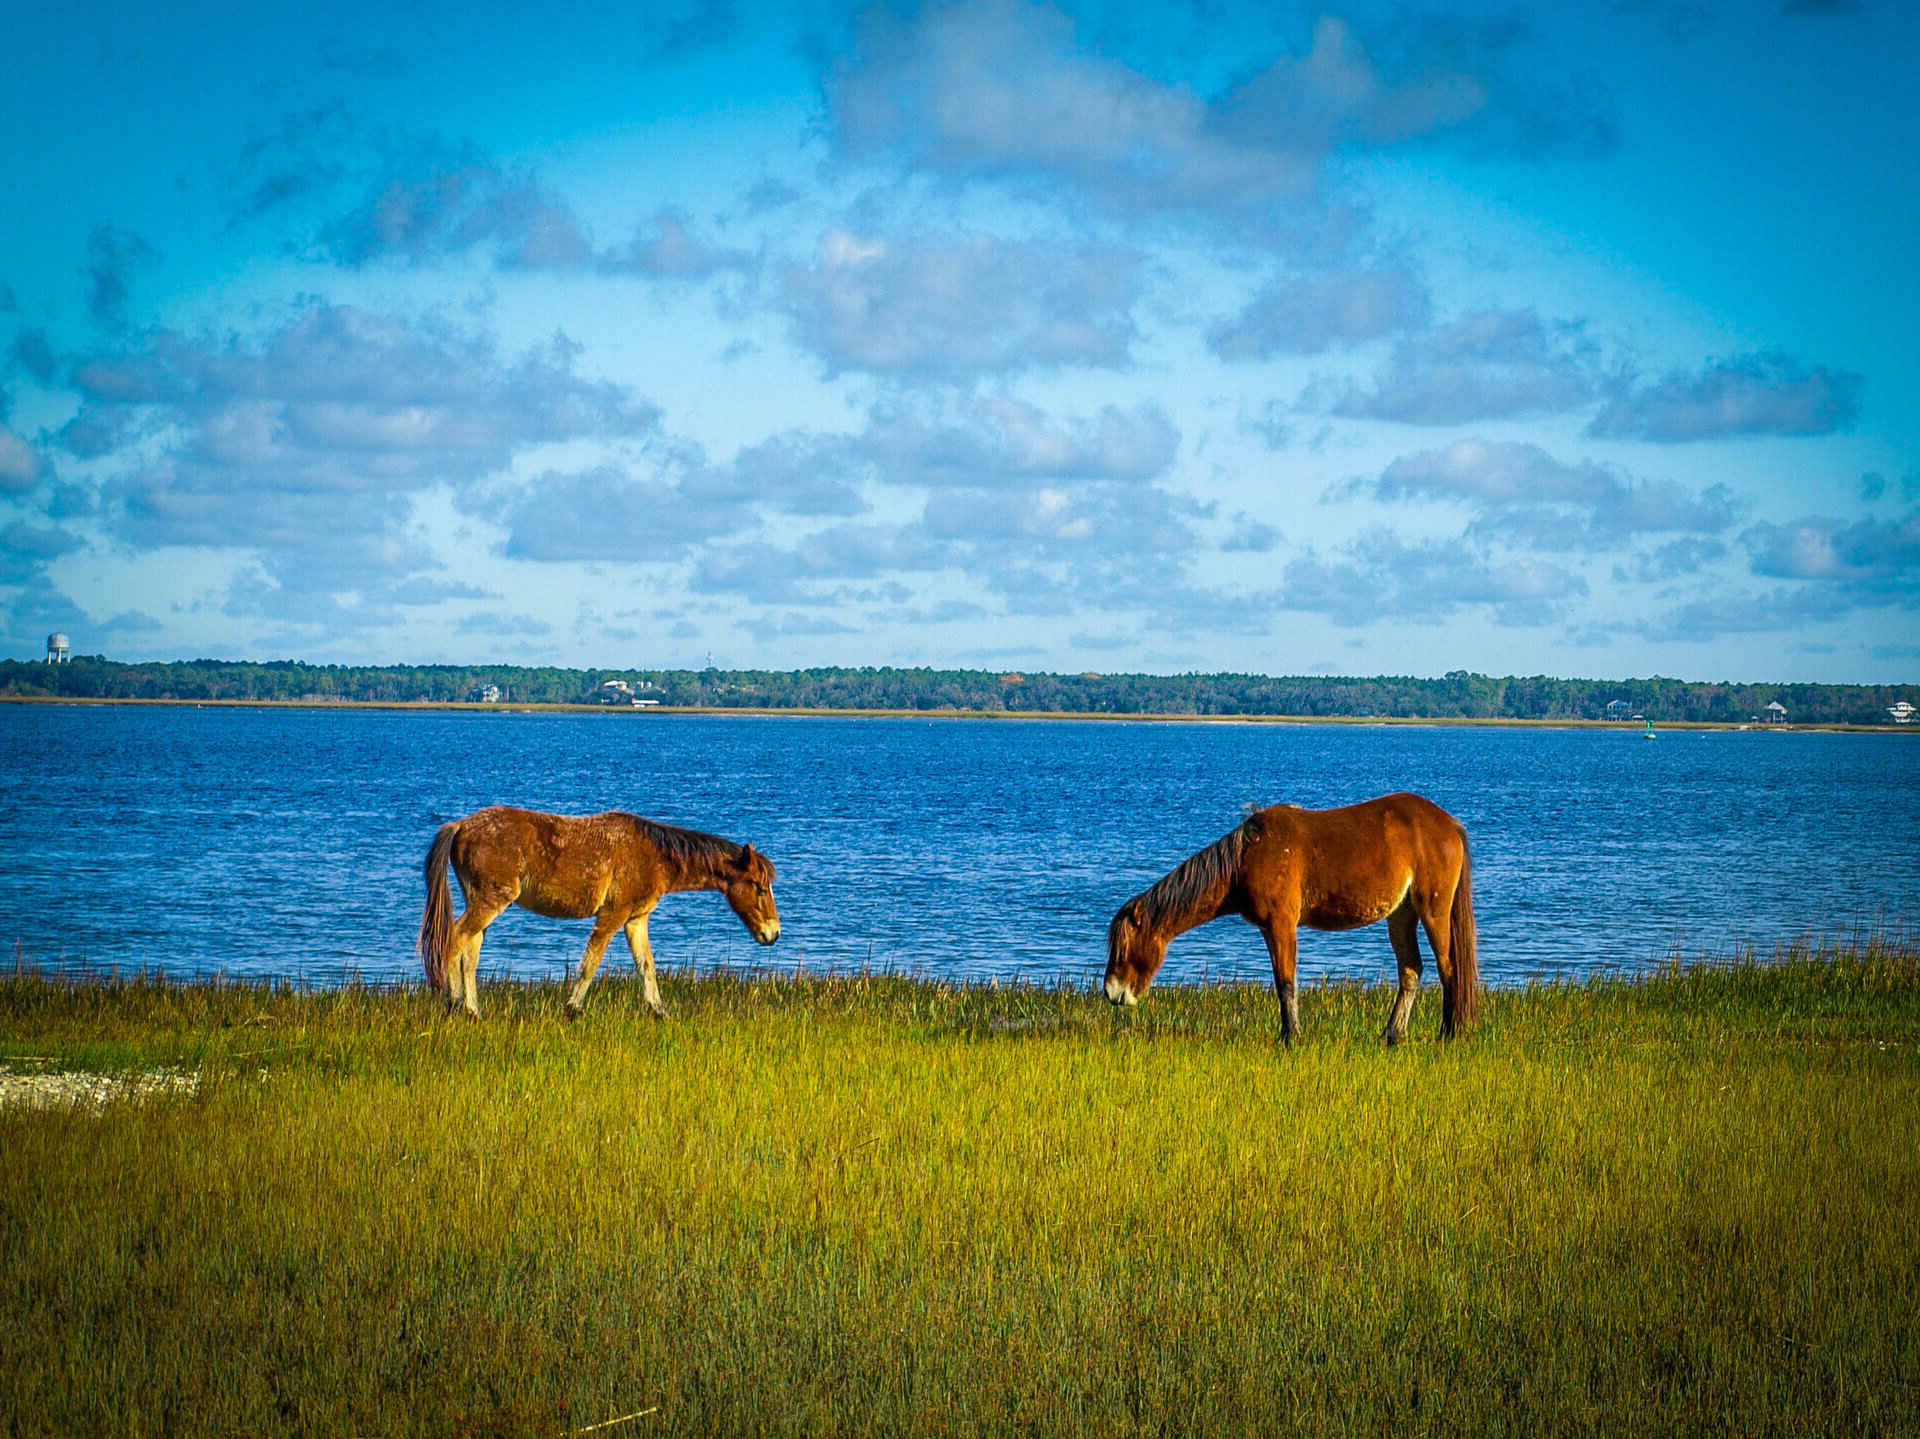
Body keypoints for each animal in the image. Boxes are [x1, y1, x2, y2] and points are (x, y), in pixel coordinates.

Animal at [417, 806, 780, 1019]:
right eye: (760, 888)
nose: (773, 934)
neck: (654, 856)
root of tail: (461, 825)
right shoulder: (612, 915)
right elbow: (589, 965)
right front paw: (572, 1010)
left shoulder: (636, 920)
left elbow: (646, 966)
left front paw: (659, 1012)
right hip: (490, 901)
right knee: (456, 940)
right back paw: (456, 1005)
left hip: (482, 901)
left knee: (470, 951)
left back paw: (473, 1010)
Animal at [1103, 792, 1478, 1045]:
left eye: (1123, 949)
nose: (1111, 992)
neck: (1247, 856)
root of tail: (1449, 824)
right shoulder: (1271, 928)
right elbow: (1281, 982)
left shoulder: (1281, 923)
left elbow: (1286, 983)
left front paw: (1290, 1037)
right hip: (1401, 915)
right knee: (1411, 971)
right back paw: (1391, 1034)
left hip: (1433, 910)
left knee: (1449, 969)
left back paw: (1449, 1032)